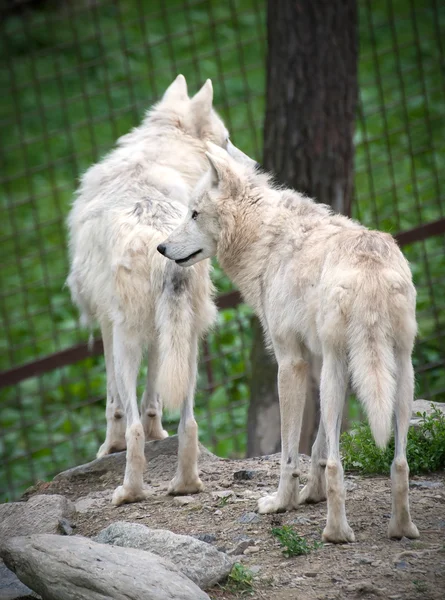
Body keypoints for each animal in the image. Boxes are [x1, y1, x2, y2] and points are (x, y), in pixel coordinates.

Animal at [68, 75, 229, 506]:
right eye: (226, 141)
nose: (253, 165)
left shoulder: (108, 329)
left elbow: (116, 405)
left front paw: (108, 448)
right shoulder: (160, 338)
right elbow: (155, 397)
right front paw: (161, 435)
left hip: (129, 342)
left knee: (133, 423)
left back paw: (129, 492)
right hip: (189, 343)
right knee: (189, 422)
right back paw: (185, 484)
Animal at [160, 142, 420, 544]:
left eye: (194, 213)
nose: (161, 247)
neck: (265, 239)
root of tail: (369, 264)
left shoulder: (290, 362)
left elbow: (289, 450)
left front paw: (282, 502)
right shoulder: (319, 362)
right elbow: (319, 446)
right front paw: (311, 493)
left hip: (342, 368)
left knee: (340, 466)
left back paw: (336, 532)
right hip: (394, 370)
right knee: (400, 462)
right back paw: (401, 528)